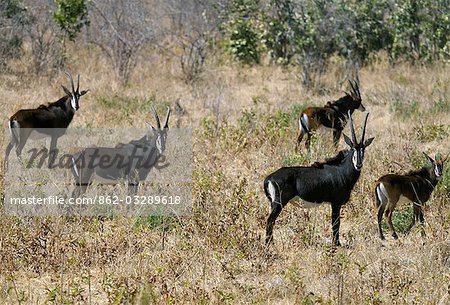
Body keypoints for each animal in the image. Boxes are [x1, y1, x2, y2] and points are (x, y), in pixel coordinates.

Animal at [266, 110, 374, 246]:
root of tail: (269, 178)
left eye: (363, 149)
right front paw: (336, 244)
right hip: (278, 203)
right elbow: (336, 224)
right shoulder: (336, 203)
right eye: (353, 148)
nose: (358, 164)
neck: (341, 170)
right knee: (270, 220)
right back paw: (269, 245)